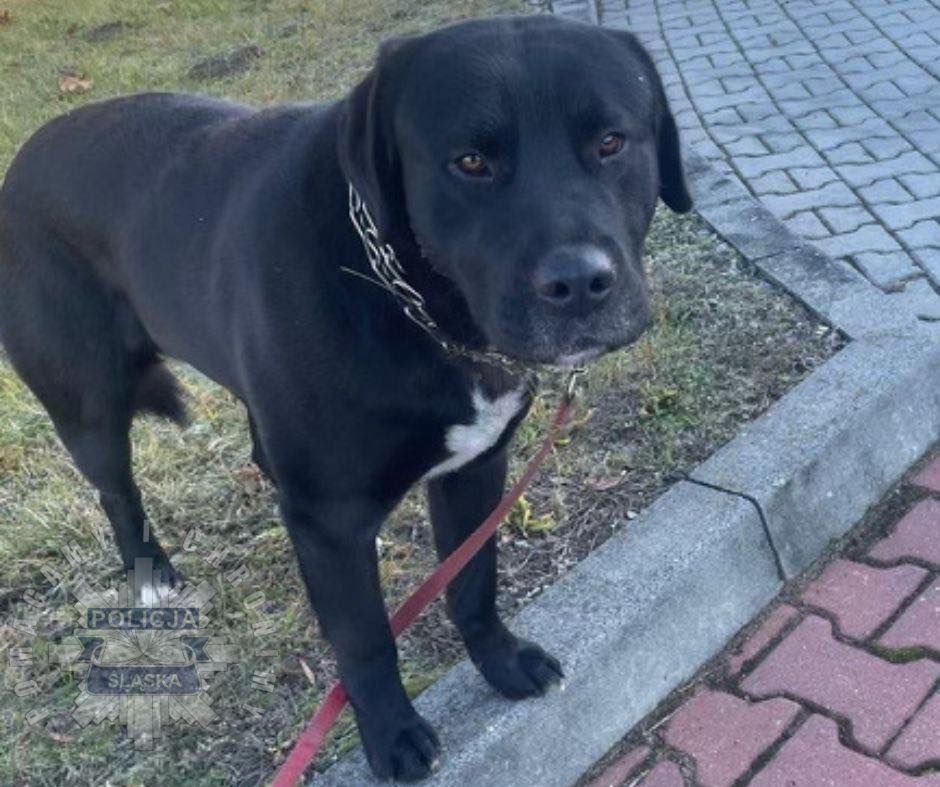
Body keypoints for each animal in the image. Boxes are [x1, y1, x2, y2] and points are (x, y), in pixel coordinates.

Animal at [0, 13, 692, 780]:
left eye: (611, 142)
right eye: (470, 162)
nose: (578, 283)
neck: (408, 298)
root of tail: (26, 153)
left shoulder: (475, 467)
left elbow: (473, 578)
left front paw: (500, 659)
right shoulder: (327, 518)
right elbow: (364, 637)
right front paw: (389, 730)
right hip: (86, 401)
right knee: (117, 491)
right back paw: (150, 577)